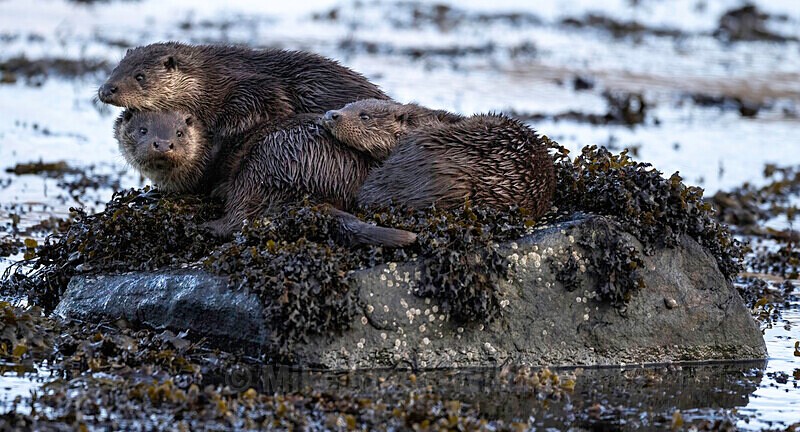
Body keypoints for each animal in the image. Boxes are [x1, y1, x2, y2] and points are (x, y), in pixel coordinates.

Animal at [116, 110, 416, 247]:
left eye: (179, 133)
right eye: (143, 130)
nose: (163, 144)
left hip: (262, 162)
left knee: (239, 217)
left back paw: (206, 226)